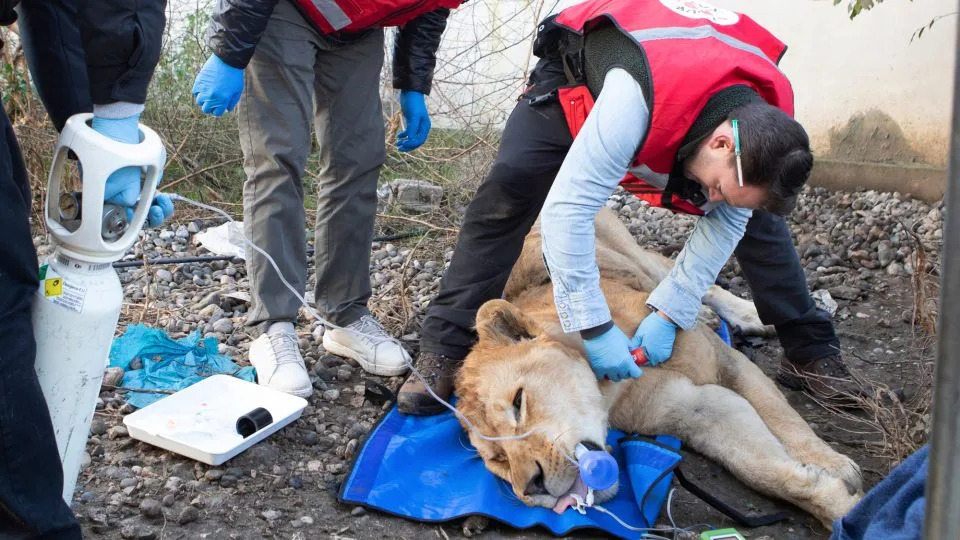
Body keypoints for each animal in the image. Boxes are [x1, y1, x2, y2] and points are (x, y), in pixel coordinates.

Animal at [454, 207, 863, 529]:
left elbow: (783, 418)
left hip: (631, 249)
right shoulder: (695, 408)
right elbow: (761, 468)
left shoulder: (726, 363)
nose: (531, 486)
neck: (611, 387)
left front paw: (835, 465)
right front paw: (843, 508)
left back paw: (741, 314)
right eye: (498, 459)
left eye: (518, 402)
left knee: (680, 272)